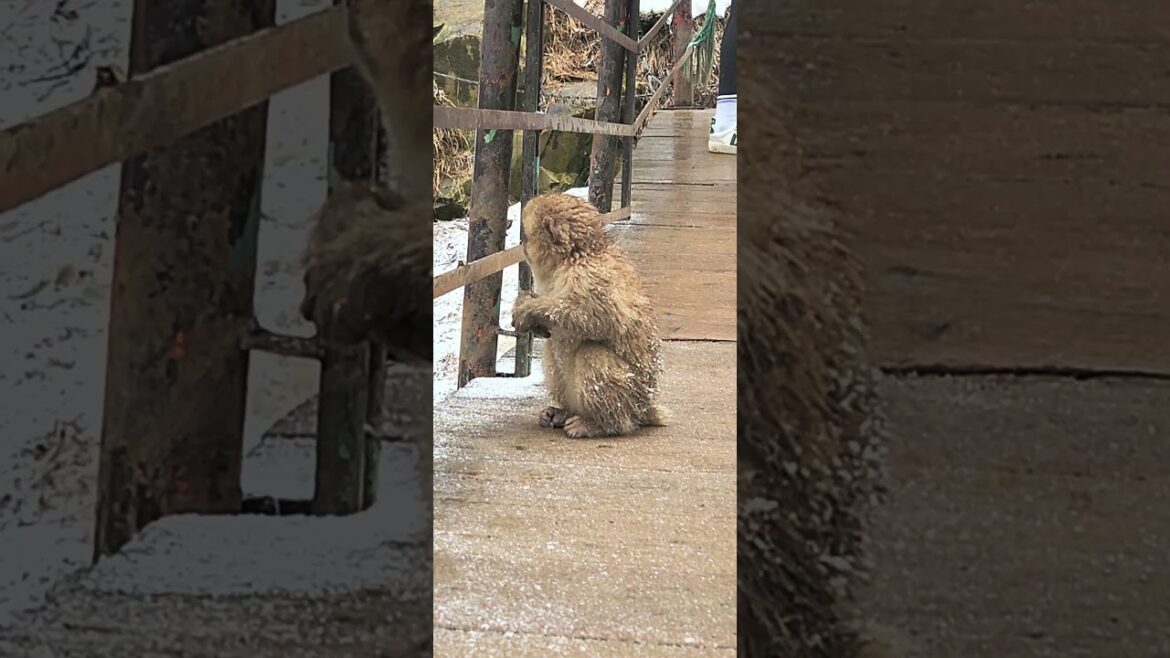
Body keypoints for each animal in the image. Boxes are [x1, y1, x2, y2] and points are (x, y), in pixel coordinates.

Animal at [510, 193, 669, 439]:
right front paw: (529, 309)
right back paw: (562, 412)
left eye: (527, 236)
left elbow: (601, 318)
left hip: (632, 398)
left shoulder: (587, 275)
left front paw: (531, 309)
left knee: (591, 353)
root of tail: (647, 408)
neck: (574, 255)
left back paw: (603, 424)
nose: (523, 245)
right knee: (552, 348)